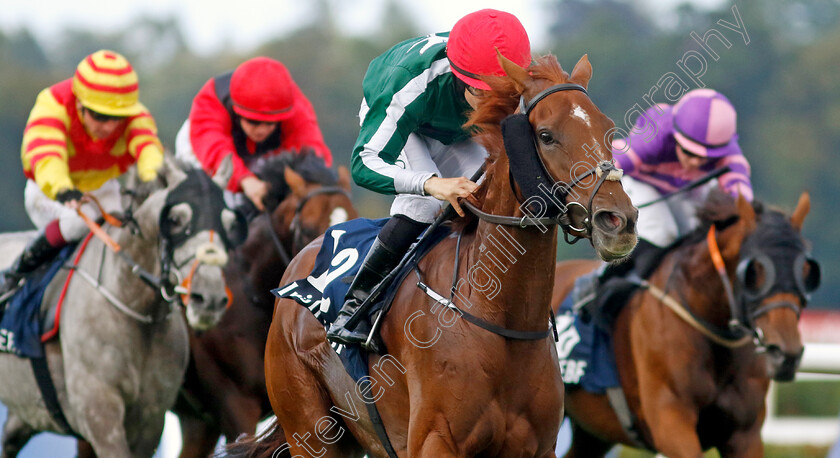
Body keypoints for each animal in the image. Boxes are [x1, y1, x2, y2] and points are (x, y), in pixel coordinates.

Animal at [0, 156, 241, 456]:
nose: (209, 299)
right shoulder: (100, 413)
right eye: (175, 220)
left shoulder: (151, 419)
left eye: (229, 224)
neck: (135, 311)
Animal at [230, 52, 636, 454]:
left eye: (608, 129)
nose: (618, 220)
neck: (498, 316)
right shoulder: (434, 440)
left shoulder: (538, 446)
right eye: (546, 135)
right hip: (310, 427)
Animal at [552, 189, 820, 454]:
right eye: (753, 270)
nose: (785, 355)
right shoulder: (671, 424)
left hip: (593, 433)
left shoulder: (745, 435)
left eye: (807, 271)